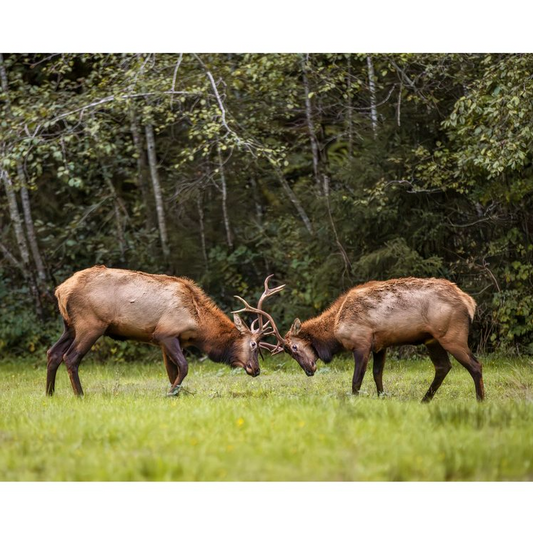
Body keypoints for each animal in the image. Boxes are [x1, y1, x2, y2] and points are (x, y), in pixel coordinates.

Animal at [47, 268, 284, 398]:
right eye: (254, 345)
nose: (256, 369)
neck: (199, 325)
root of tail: (60, 290)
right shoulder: (166, 334)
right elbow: (184, 367)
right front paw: (170, 394)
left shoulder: (164, 342)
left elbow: (172, 371)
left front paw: (176, 394)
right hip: (90, 325)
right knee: (71, 357)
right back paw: (80, 395)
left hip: (70, 326)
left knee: (53, 353)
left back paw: (50, 393)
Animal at [272, 280, 484, 402]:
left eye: (294, 347)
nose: (309, 370)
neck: (335, 329)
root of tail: (470, 302)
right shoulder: (380, 346)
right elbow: (377, 375)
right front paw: (381, 398)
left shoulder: (362, 343)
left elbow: (356, 380)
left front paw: (354, 401)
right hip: (432, 339)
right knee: (443, 366)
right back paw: (425, 400)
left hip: (452, 335)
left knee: (475, 365)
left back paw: (480, 400)